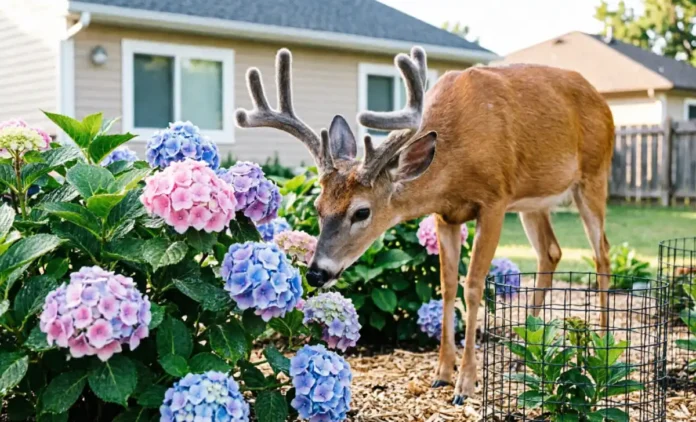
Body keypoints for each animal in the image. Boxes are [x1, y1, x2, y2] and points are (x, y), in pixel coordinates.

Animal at [235, 46, 614, 404]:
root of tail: (602, 101)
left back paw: (601, 345)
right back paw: (525, 352)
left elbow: (472, 286)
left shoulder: (495, 199)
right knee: (551, 252)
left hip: (593, 176)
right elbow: (447, 287)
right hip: (533, 201)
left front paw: (465, 384)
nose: (316, 273)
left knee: (603, 255)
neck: (453, 162)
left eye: (362, 212)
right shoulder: (445, 214)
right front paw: (442, 373)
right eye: (317, 207)